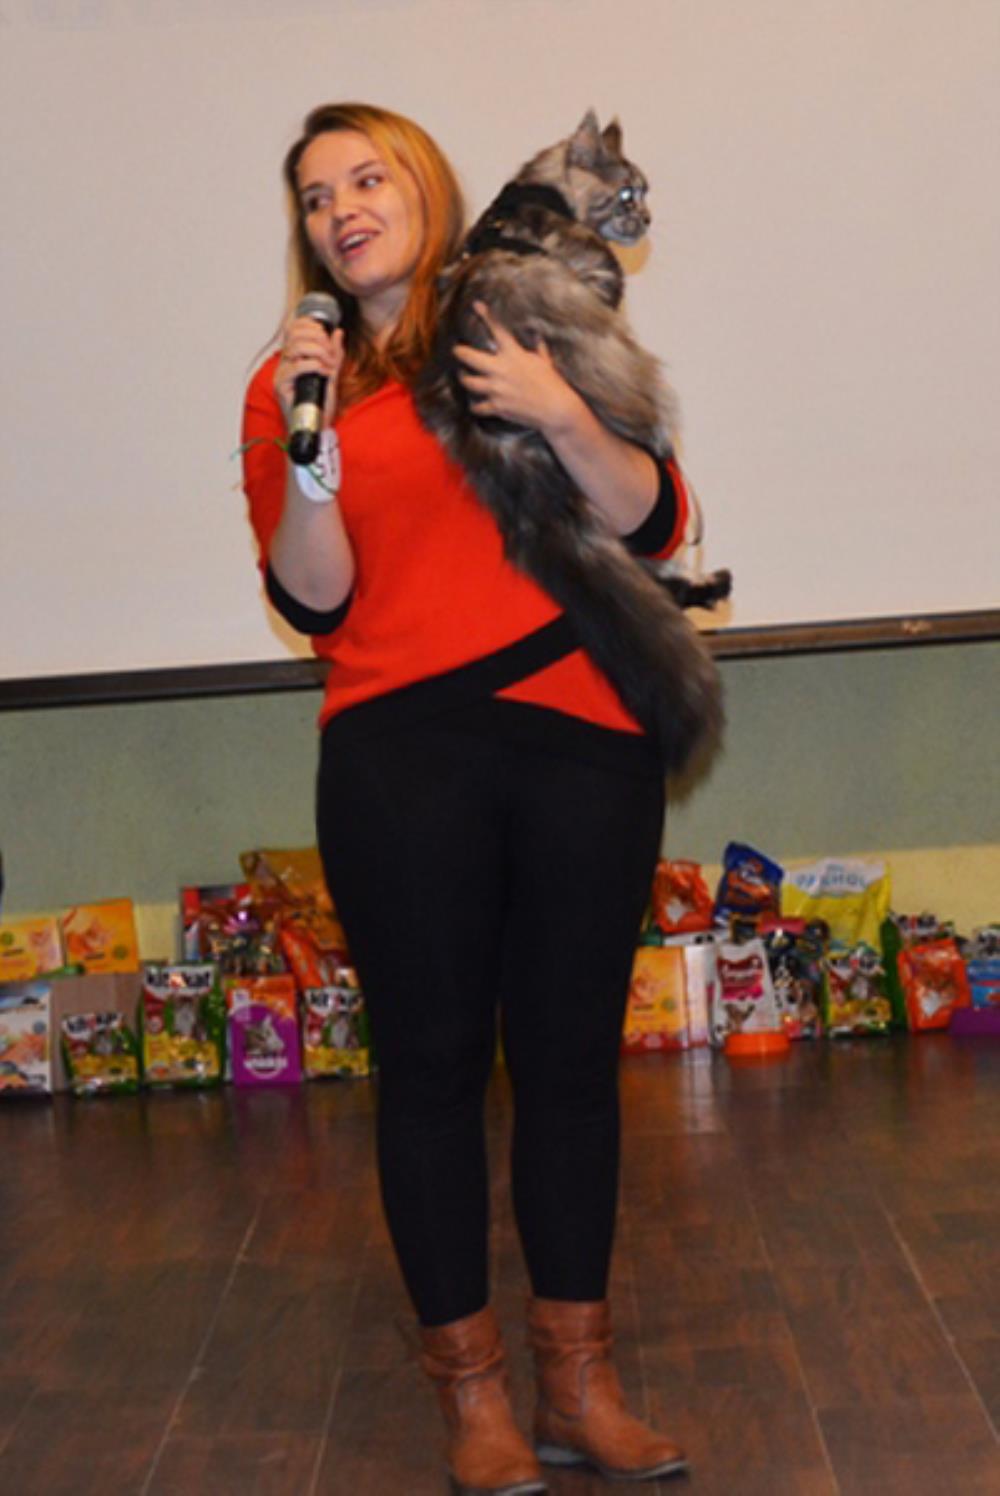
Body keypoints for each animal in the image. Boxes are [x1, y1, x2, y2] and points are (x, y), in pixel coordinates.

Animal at [414, 110, 725, 774]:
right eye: (629, 193)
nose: (647, 218)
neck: (539, 194)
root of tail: (498, 438)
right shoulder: (597, 278)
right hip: (623, 378)